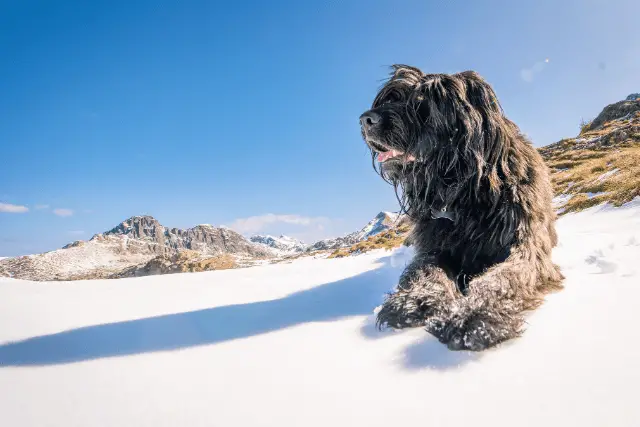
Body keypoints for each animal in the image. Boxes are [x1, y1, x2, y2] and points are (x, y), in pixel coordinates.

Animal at [360, 66, 564, 352]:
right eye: (391, 97)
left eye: (420, 103)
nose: (366, 119)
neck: (463, 192)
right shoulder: (434, 245)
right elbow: (427, 270)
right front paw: (416, 299)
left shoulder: (526, 245)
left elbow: (503, 277)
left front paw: (473, 315)